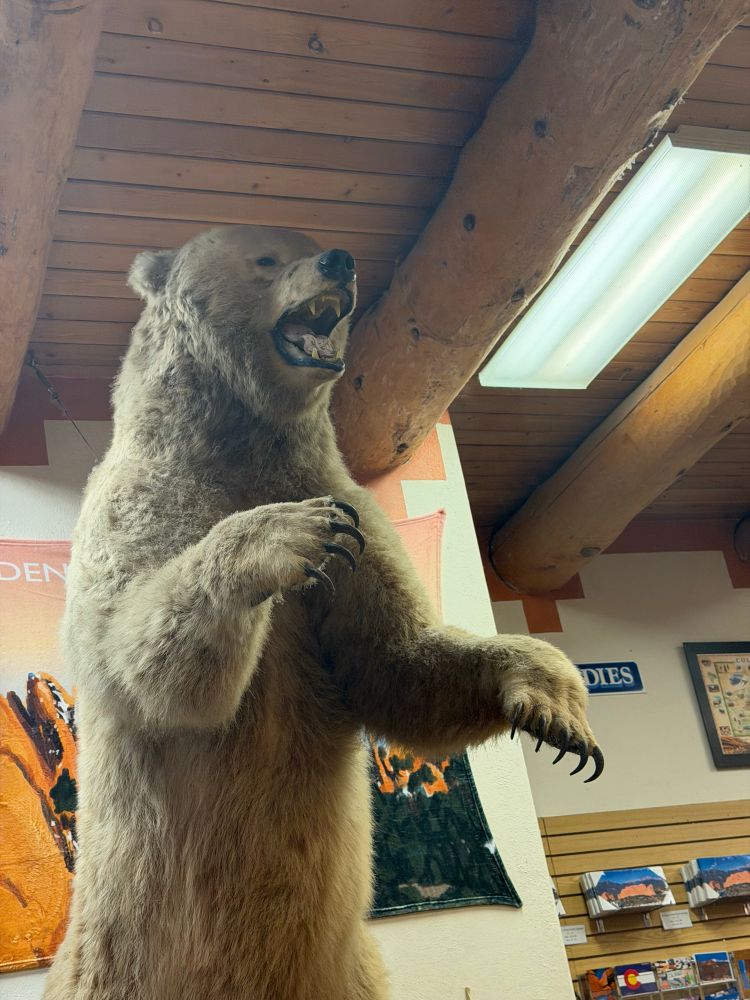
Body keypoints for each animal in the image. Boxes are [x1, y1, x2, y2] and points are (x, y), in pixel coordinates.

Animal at [43, 224, 603, 1000]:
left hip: (350, 969)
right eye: (265, 256)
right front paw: (290, 532)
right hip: (120, 959)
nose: (342, 261)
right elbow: (139, 659)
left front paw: (557, 709)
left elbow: (395, 666)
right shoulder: (139, 504)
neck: (243, 445)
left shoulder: (352, 508)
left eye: (304, 240)